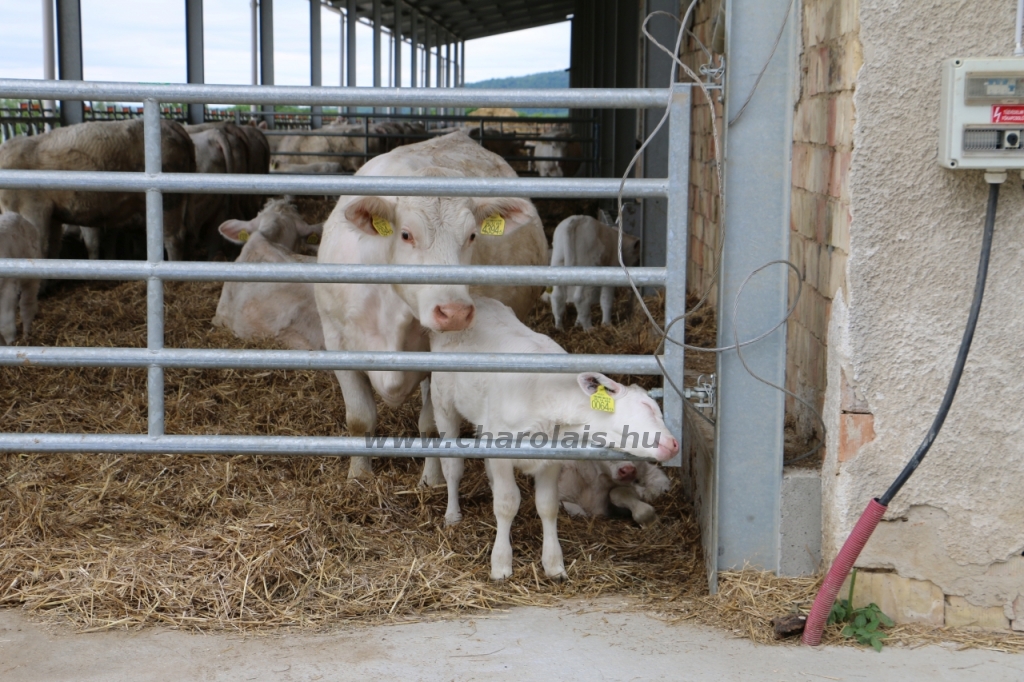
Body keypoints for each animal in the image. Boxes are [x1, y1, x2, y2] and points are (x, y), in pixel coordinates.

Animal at [0, 212, 41, 342]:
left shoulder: (7, 286)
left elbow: (6, 326)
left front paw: (10, 341)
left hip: (31, 275)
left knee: (27, 304)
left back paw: (26, 335)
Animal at [313, 127, 548, 481]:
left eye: (472, 236)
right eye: (406, 234)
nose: (455, 313)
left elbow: (431, 426)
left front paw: (433, 479)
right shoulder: (337, 342)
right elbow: (359, 419)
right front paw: (358, 477)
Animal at [430, 296, 679, 577]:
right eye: (648, 406)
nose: (674, 444)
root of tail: (479, 300)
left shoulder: (552, 458)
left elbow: (547, 505)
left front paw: (553, 563)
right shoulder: (502, 451)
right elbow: (506, 503)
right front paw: (501, 563)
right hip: (442, 402)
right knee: (452, 467)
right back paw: (452, 515)